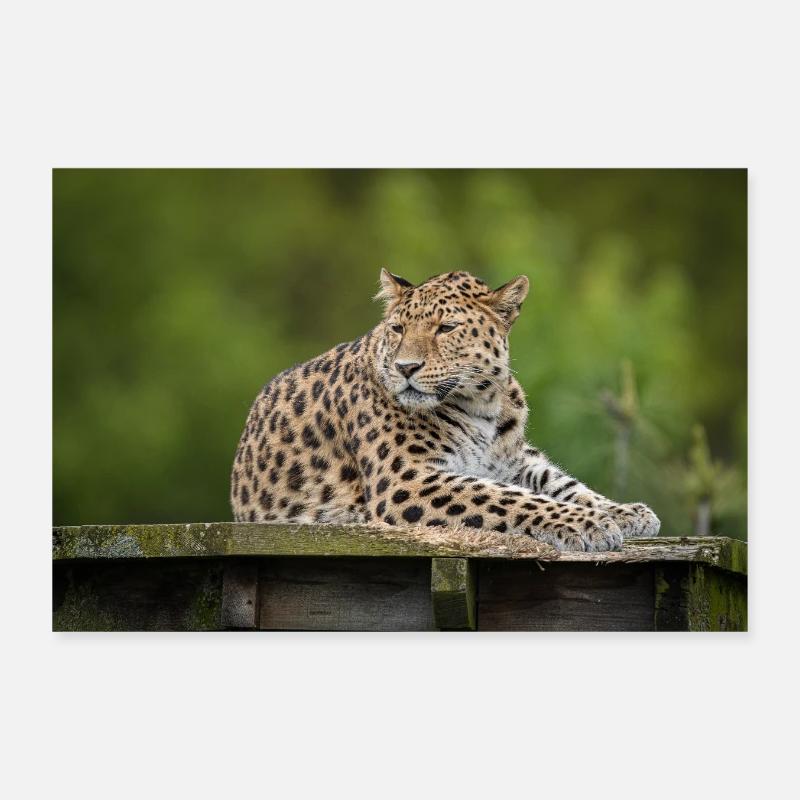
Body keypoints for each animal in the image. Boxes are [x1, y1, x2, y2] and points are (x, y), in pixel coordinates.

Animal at [230, 269, 661, 551]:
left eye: (446, 328)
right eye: (398, 329)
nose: (405, 367)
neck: (483, 404)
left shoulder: (513, 459)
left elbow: (560, 483)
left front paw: (625, 512)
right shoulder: (406, 480)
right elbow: (509, 498)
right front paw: (592, 523)